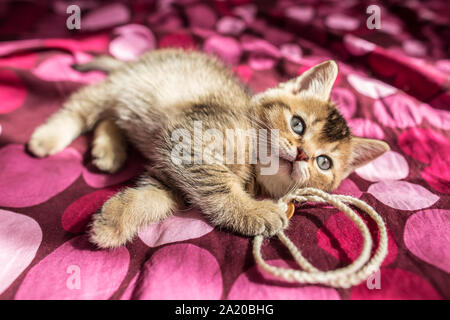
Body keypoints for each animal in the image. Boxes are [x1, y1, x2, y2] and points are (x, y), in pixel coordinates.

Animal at [28, 48, 388, 249]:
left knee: (110, 117)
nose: (302, 155)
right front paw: (254, 212)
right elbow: (220, 186)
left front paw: (113, 221)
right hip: (119, 87)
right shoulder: (190, 141)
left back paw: (109, 151)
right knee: (83, 105)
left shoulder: (172, 174)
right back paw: (47, 138)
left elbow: (150, 200)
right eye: (298, 124)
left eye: (324, 163)